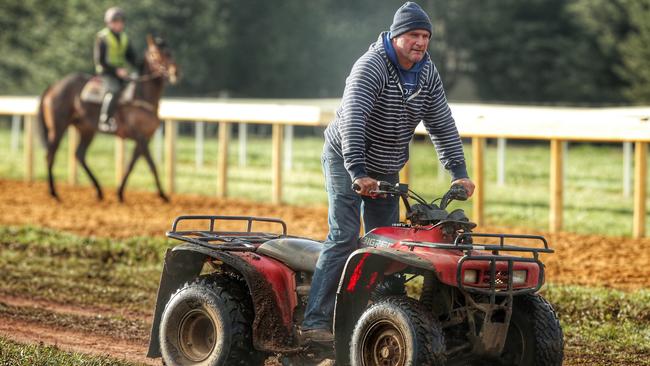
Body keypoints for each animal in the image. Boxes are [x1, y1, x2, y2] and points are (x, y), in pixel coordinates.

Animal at [40, 35, 177, 202]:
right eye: (155, 54)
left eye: (170, 52)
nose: (175, 72)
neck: (139, 97)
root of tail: (53, 86)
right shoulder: (139, 136)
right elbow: (151, 164)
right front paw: (163, 195)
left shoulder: (146, 137)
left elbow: (131, 165)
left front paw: (120, 193)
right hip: (58, 127)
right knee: (50, 155)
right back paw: (54, 193)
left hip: (86, 130)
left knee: (79, 155)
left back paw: (99, 191)